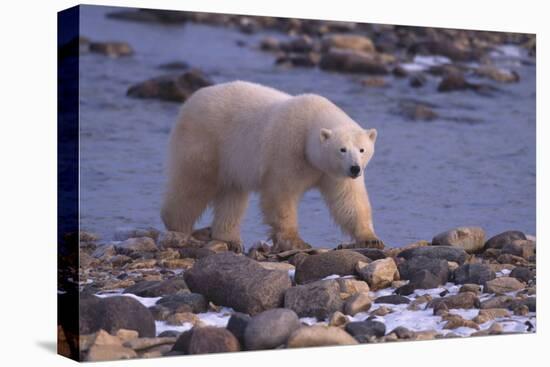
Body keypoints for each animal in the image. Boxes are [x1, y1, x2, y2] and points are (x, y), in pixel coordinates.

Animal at [162, 80, 382, 253]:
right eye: (342, 149)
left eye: (362, 149)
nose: (355, 169)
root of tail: (191, 100)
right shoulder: (287, 150)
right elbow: (281, 194)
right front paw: (295, 241)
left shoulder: (332, 173)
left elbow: (349, 200)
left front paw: (371, 239)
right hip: (206, 141)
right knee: (193, 185)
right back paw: (179, 228)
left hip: (232, 161)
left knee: (232, 195)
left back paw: (229, 239)